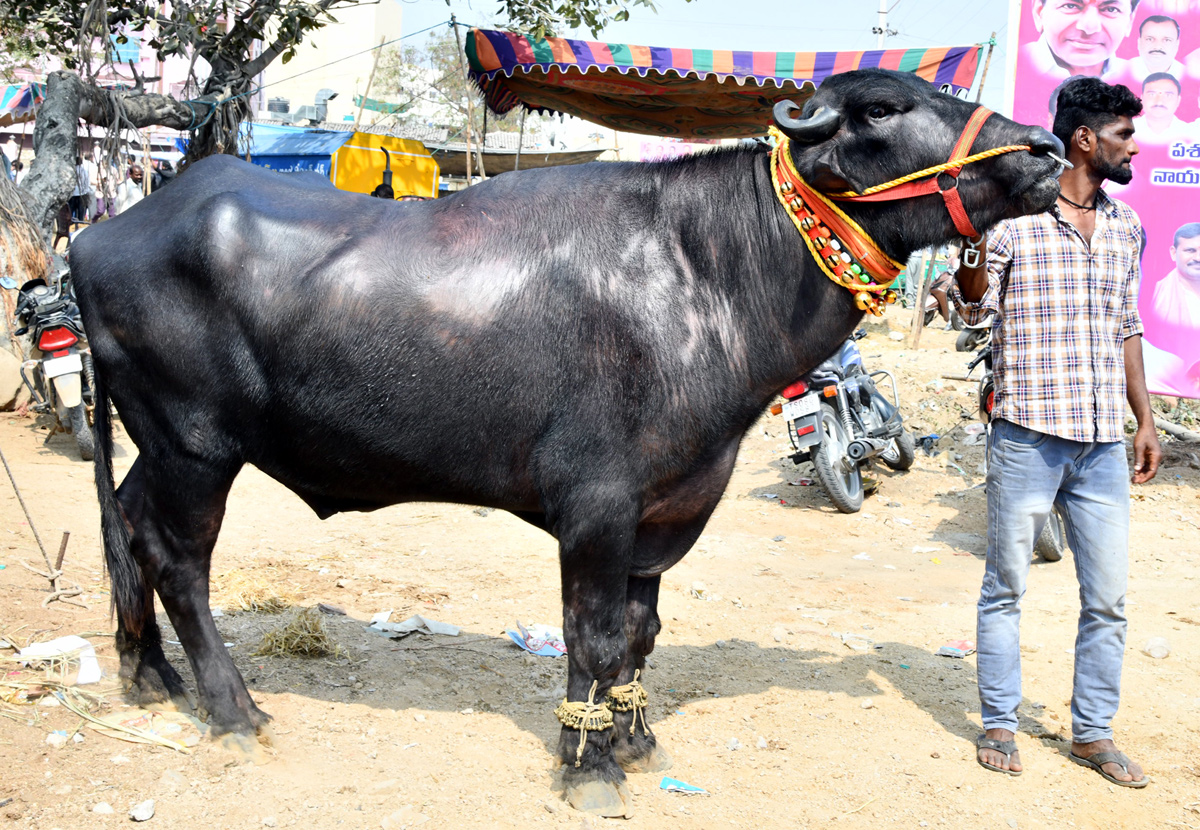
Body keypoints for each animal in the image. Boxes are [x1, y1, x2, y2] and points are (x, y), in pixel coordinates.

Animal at [70, 66, 1056, 815]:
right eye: (884, 109)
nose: (1045, 151)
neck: (703, 273)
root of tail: (96, 236)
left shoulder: (670, 506)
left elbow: (639, 634)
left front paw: (638, 736)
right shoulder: (596, 508)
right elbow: (592, 634)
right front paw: (589, 766)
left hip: (157, 447)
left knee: (127, 527)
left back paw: (147, 674)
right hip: (197, 446)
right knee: (178, 561)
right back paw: (234, 711)